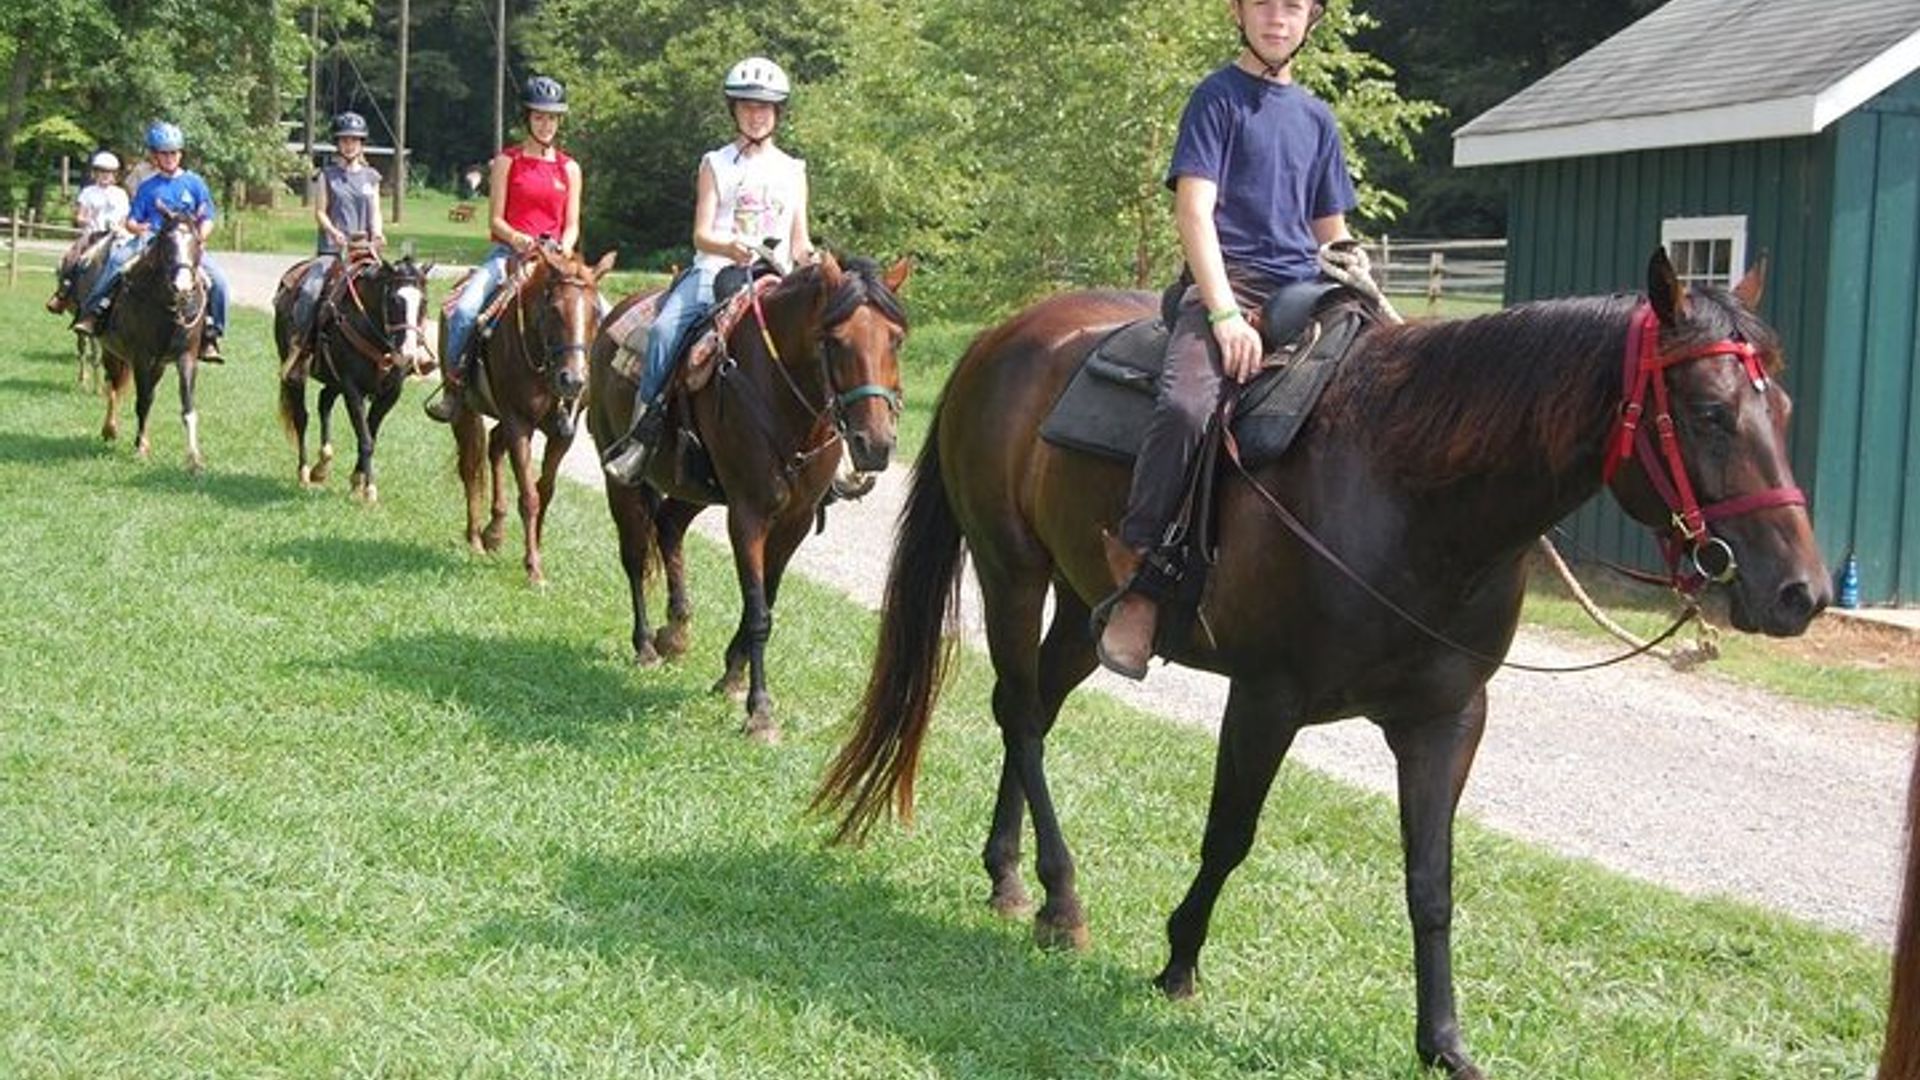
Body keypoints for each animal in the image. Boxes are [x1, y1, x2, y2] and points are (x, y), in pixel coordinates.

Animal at [97, 208, 210, 471]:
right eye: (166, 242)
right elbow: (143, 402)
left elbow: (188, 407)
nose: (182, 286)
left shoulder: (186, 358)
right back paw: (110, 429)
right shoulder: (142, 358)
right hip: (112, 353)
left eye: (197, 242)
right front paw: (140, 450)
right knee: (112, 387)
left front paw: (194, 458)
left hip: (158, 366)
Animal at [274, 249, 434, 502]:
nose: (408, 355)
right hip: (296, 374)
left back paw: (322, 465)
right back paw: (305, 473)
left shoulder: (390, 393)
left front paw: (358, 481)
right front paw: (369, 490)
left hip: (334, 381)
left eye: (424, 302)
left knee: (324, 401)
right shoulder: (352, 389)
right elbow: (365, 438)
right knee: (302, 417)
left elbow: (370, 434)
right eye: (394, 300)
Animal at [449, 245, 615, 584]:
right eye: (554, 310)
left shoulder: (563, 433)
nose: (573, 380)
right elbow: (529, 496)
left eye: (595, 312)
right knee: (470, 467)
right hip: (465, 411)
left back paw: (494, 531)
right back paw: (476, 538)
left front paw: (535, 549)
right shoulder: (519, 423)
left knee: (494, 445)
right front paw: (533, 568)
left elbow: (545, 491)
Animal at [587, 253, 909, 743]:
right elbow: (758, 611)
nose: (874, 445)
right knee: (635, 555)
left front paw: (732, 675)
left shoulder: (795, 519)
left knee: (669, 528)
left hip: (693, 488)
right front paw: (760, 711)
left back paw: (675, 631)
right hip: (623, 479)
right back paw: (645, 645)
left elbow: (766, 603)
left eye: (896, 340)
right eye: (834, 341)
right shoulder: (748, 514)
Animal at [815, 249, 1827, 1079]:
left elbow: (1432, 881)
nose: (1800, 594)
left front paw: (1443, 1041)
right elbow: (1229, 836)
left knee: (1034, 710)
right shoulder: (1267, 697)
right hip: (1012, 571)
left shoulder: (1447, 720)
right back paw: (1060, 899)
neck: (1410, 490)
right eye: (1708, 413)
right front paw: (1178, 961)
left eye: (1781, 409)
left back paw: (1008, 874)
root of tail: (1003, 337)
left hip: (1080, 604)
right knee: (1021, 714)